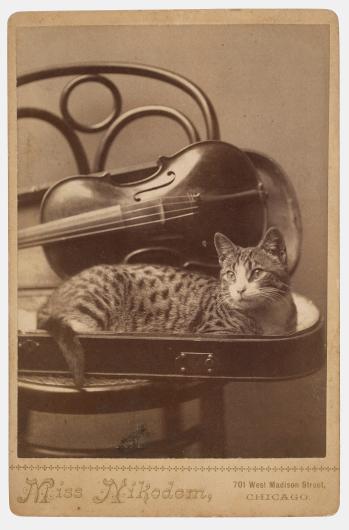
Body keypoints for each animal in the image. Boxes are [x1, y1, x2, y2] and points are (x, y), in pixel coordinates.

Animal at [38, 225, 294, 386]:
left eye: (257, 272)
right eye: (231, 275)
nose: (239, 289)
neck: (265, 315)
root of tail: (53, 295)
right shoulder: (214, 331)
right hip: (99, 298)